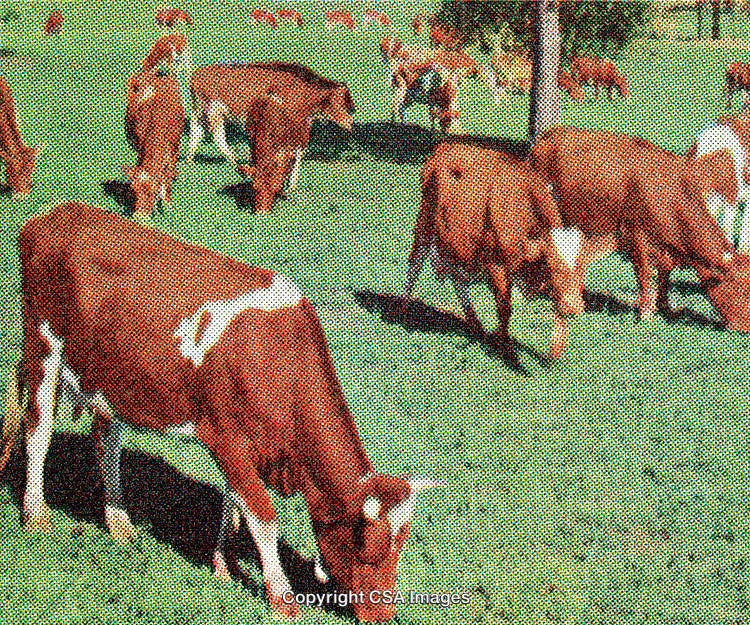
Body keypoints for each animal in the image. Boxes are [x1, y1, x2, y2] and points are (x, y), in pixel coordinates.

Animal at [7, 201, 442, 622]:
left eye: (401, 545)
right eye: (368, 547)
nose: (383, 613)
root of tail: (52, 216)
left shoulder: (244, 445)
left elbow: (234, 502)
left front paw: (222, 561)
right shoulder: (224, 436)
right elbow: (262, 515)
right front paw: (281, 597)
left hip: (109, 380)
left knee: (106, 444)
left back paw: (119, 523)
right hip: (43, 349)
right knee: (38, 432)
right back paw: (36, 515)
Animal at [123, 71, 186, 216]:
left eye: (152, 192)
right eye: (134, 191)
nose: (140, 215)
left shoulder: (173, 150)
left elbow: (167, 174)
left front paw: (167, 200)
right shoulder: (141, 146)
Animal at [187, 61, 354, 187]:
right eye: (341, 102)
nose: (350, 123)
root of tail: (196, 74)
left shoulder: (302, 124)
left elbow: (299, 150)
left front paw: (291, 182)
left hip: (202, 112)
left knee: (196, 133)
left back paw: (190, 160)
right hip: (214, 110)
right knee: (218, 138)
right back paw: (236, 163)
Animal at [404, 137, 584, 362]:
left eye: (581, 268)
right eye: (551, 265)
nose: (575, 306)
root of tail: (446, 145)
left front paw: (556, 348)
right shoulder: (494, 263)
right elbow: (504, 306)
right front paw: (506, 347)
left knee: (458, 279)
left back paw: (475, 324)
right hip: (425, 222)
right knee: (414, 264)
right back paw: (405, 309)